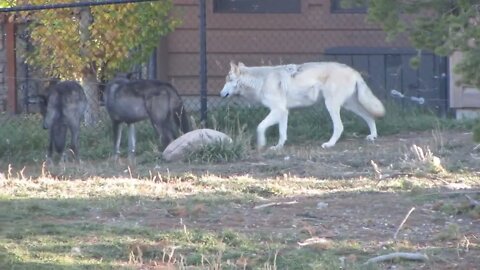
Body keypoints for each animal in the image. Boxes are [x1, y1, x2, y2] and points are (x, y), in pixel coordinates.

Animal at [221, 61, 386, 150]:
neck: (260, 81)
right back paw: (373, 136)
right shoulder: (284, 112)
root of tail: (354, 71)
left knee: (340, 126)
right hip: (350, 105)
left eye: (228, 80)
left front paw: (261, 144)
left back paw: (329, 144)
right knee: (369, 117)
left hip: (331, 105)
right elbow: (282, 133)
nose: (220, 94)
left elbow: (260, 126)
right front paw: (278, 147)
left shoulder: (278, 110)